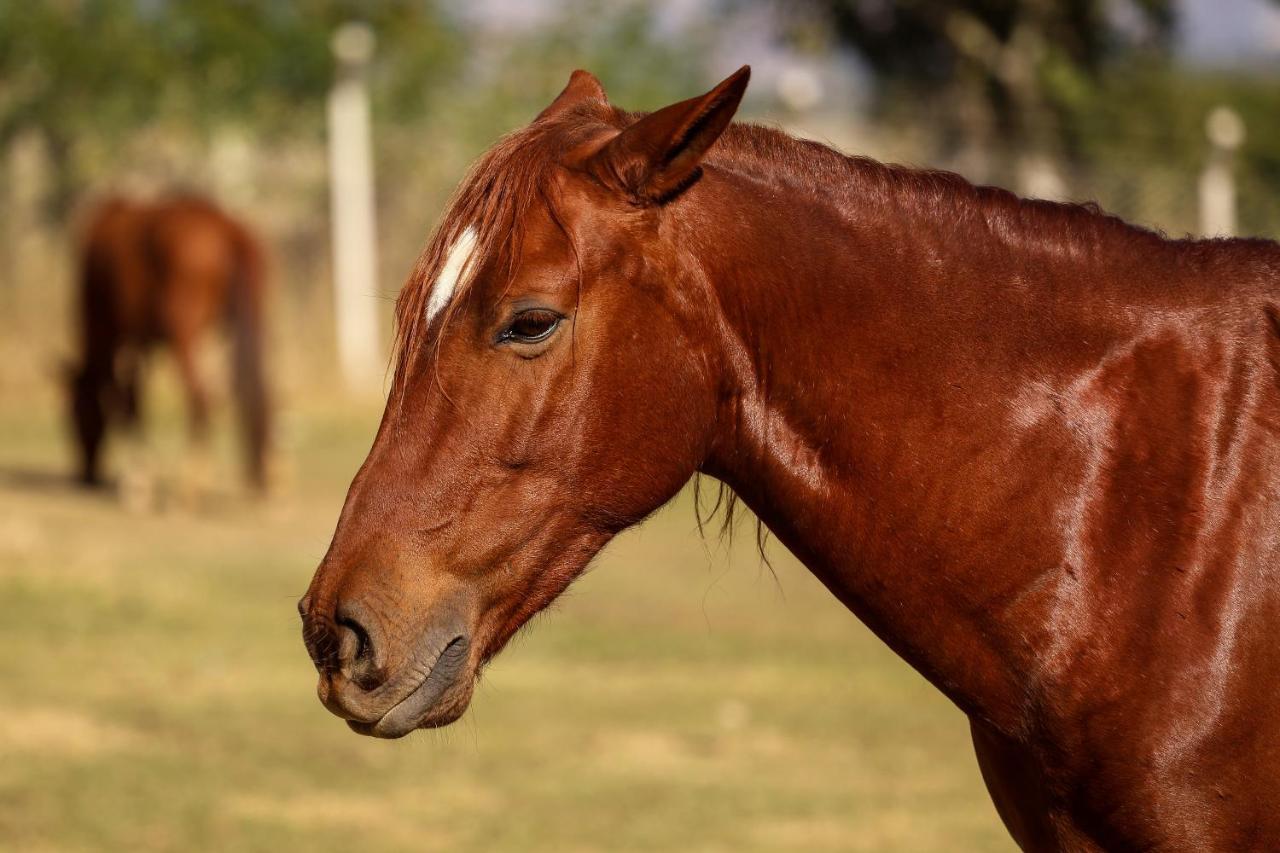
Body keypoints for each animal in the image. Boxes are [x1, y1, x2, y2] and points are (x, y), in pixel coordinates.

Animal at [68, 194, 270, 491]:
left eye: (74, 412)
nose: (86, 475)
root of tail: (227, 229)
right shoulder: (139, 342)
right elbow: (133, 399)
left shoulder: (117, 332)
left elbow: (128, 401)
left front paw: (137, 479)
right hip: (248, 322)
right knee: (249, 390)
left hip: (184, 331)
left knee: (200, 397)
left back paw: (191, 483)